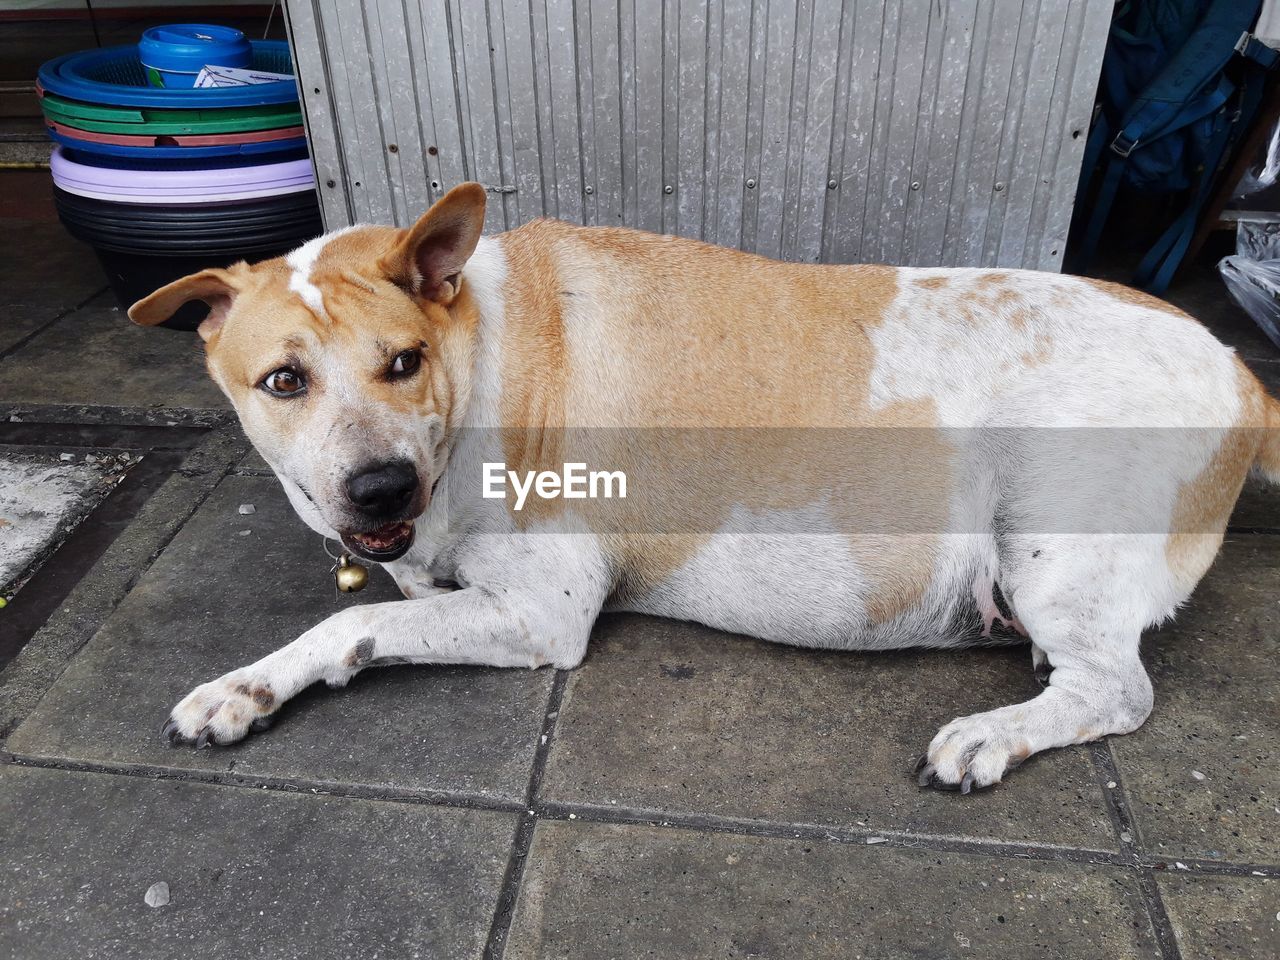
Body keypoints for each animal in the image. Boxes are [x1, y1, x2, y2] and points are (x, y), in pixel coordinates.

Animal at [129, 184, 1280, 793]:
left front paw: (242, 687)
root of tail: (1242, 372)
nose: (377, 487)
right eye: (284, 381)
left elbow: (347, 627)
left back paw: (994, 733)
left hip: (1050, 538)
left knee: (1116, 689)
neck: (478, 352)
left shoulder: (540, 614)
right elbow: (386, 601)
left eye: (402, 362)